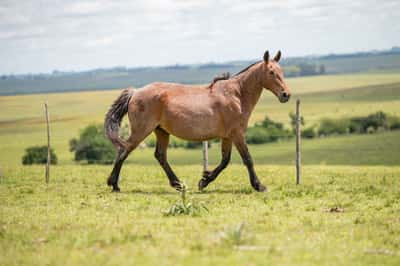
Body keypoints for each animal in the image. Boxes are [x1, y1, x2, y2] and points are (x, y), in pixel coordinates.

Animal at [103, 50, 290, 191]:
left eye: (282, 72)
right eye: (271, 72)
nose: (286, 95)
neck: (237, 94)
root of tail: (135, 92)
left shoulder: (228, 136)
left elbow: (225, 161)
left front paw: (204, 181)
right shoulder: (237, 134)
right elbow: (247, 159)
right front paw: (259, 186)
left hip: (161, 131)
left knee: (160, 155)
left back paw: (178, 184)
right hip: (142, 130)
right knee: (124, 150)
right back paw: (114, 185)